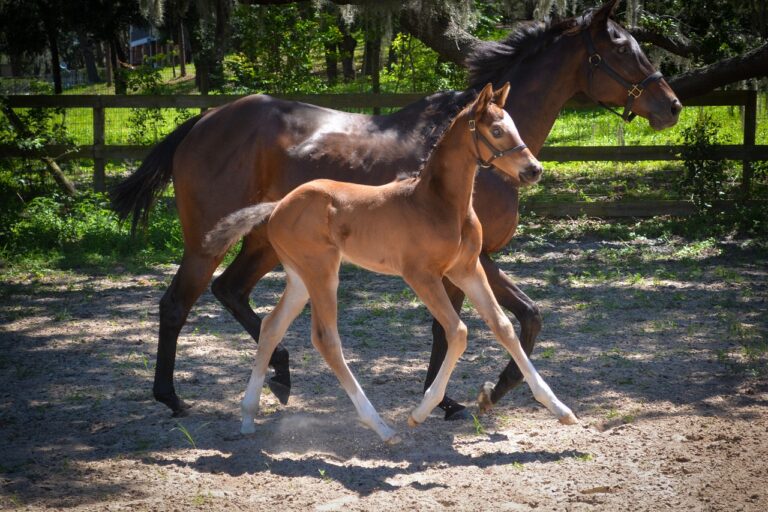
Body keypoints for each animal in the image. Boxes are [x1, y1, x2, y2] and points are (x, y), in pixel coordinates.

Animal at [204, 85, 576, 444]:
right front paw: (423, 410)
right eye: (496, 130)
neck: (438, 204)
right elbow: (457, 331)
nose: (534, 170)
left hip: (299, 277)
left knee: (271, 327)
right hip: (322, 272)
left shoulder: (468, 269)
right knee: (326, 339)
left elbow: (503, 327)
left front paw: (560, 408)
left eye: (513, 125)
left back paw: (248, 417)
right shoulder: (422, 275)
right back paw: (382, 427)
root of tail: (279, 205)